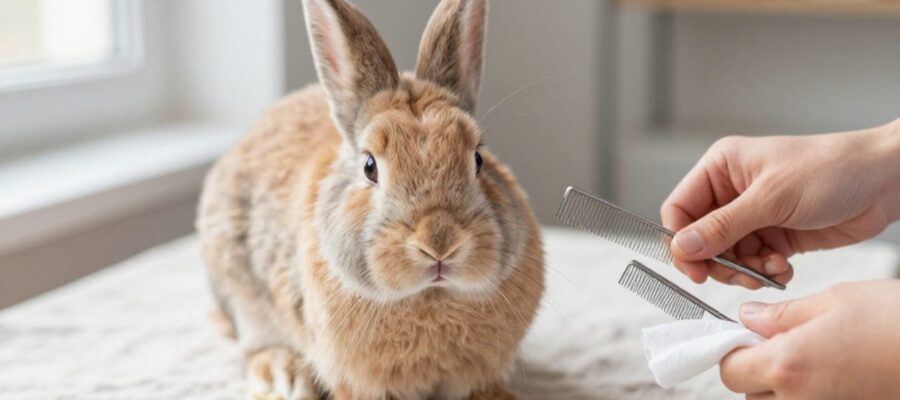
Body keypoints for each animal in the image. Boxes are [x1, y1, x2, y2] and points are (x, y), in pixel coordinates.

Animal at [196, 0, 545, 398]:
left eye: (478, 159)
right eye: (369, 166)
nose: (439, 243)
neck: (431, 297)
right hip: (242, 294)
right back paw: (283, 379)